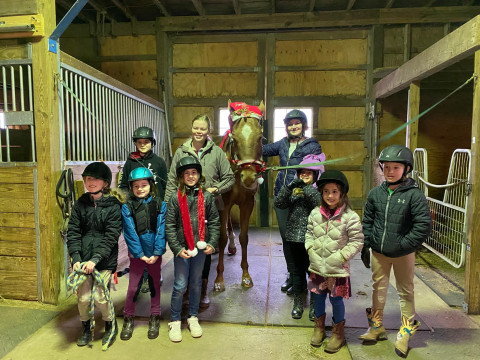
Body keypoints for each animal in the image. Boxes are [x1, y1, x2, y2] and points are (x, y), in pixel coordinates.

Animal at [215, 100, 266, 292]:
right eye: (234, 139)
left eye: (260, 137)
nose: (249, 177)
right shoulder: (224, 203)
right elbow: (221, 238)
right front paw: (219, 280)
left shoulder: (247, 204)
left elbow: (244, 237)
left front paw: (246, 276)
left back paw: (232, 246)